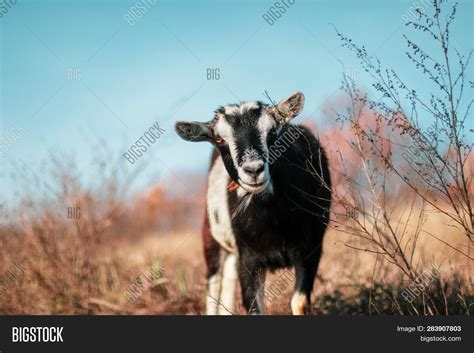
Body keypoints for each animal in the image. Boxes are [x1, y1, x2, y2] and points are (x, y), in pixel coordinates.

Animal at [175, 91, 334, 314]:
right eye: (219, 137)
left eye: (273, 130)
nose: (253, 170)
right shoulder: (250, 258)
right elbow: (254, 307)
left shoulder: (311, 247)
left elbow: (299, 302)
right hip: (210, 235)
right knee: (213, 283)